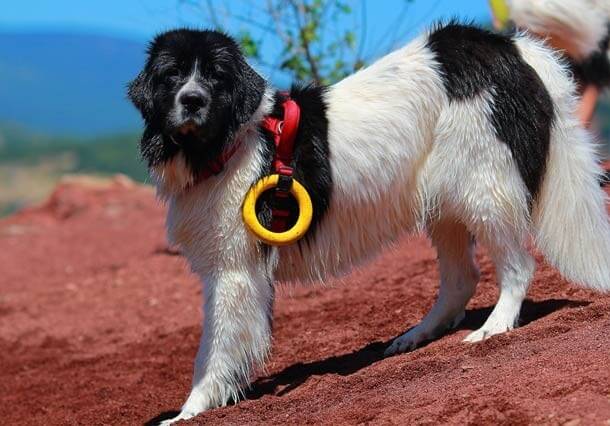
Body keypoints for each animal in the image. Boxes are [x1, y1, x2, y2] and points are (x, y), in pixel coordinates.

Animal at [127, 22, 608, 422]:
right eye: (172, 75)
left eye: (215, 77)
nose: (192, 99)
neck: (231, 142)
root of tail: (511, 47)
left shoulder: (233, 270)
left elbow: (213, 350)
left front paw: (190, 411)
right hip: (446, 199)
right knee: (461, 278)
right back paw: (418, 335)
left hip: (484, 187)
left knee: (517, 267)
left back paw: (495, 326)